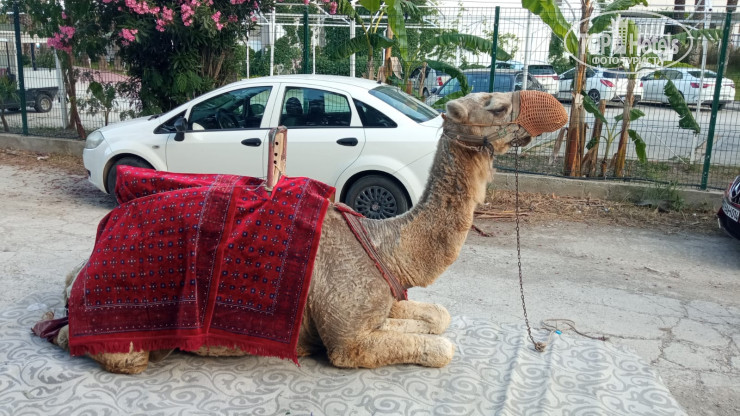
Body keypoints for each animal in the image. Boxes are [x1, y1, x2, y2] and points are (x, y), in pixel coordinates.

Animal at [40, 90, 567, 374]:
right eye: (496, 106)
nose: (556, 106)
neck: (387, 246)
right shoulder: (348, 340)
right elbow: (440, 346)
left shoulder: (379, 303)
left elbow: (437, 317)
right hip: (132, 331)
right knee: (107, 348)